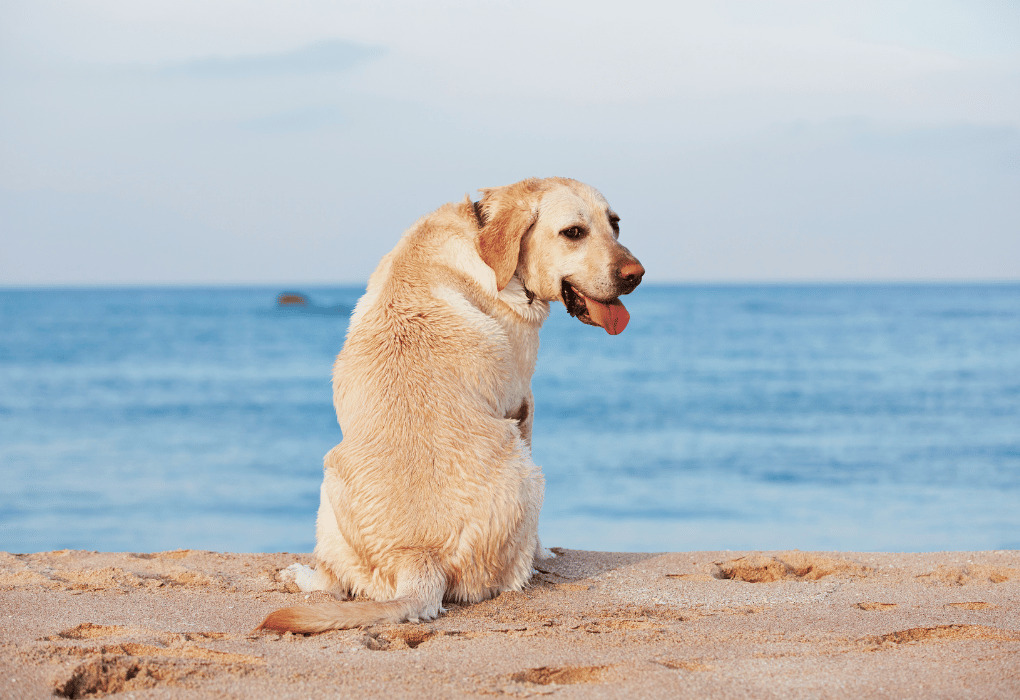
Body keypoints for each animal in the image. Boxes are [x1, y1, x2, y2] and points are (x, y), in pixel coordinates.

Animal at [255, 176, 640, 636]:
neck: (483, 239)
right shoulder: (522, 401)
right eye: (574, 232)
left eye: (615, 224)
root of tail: (418, 558)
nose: (636, 275)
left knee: (335, 581)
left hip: (329, 487)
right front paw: (545, 552)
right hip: (528, 470)